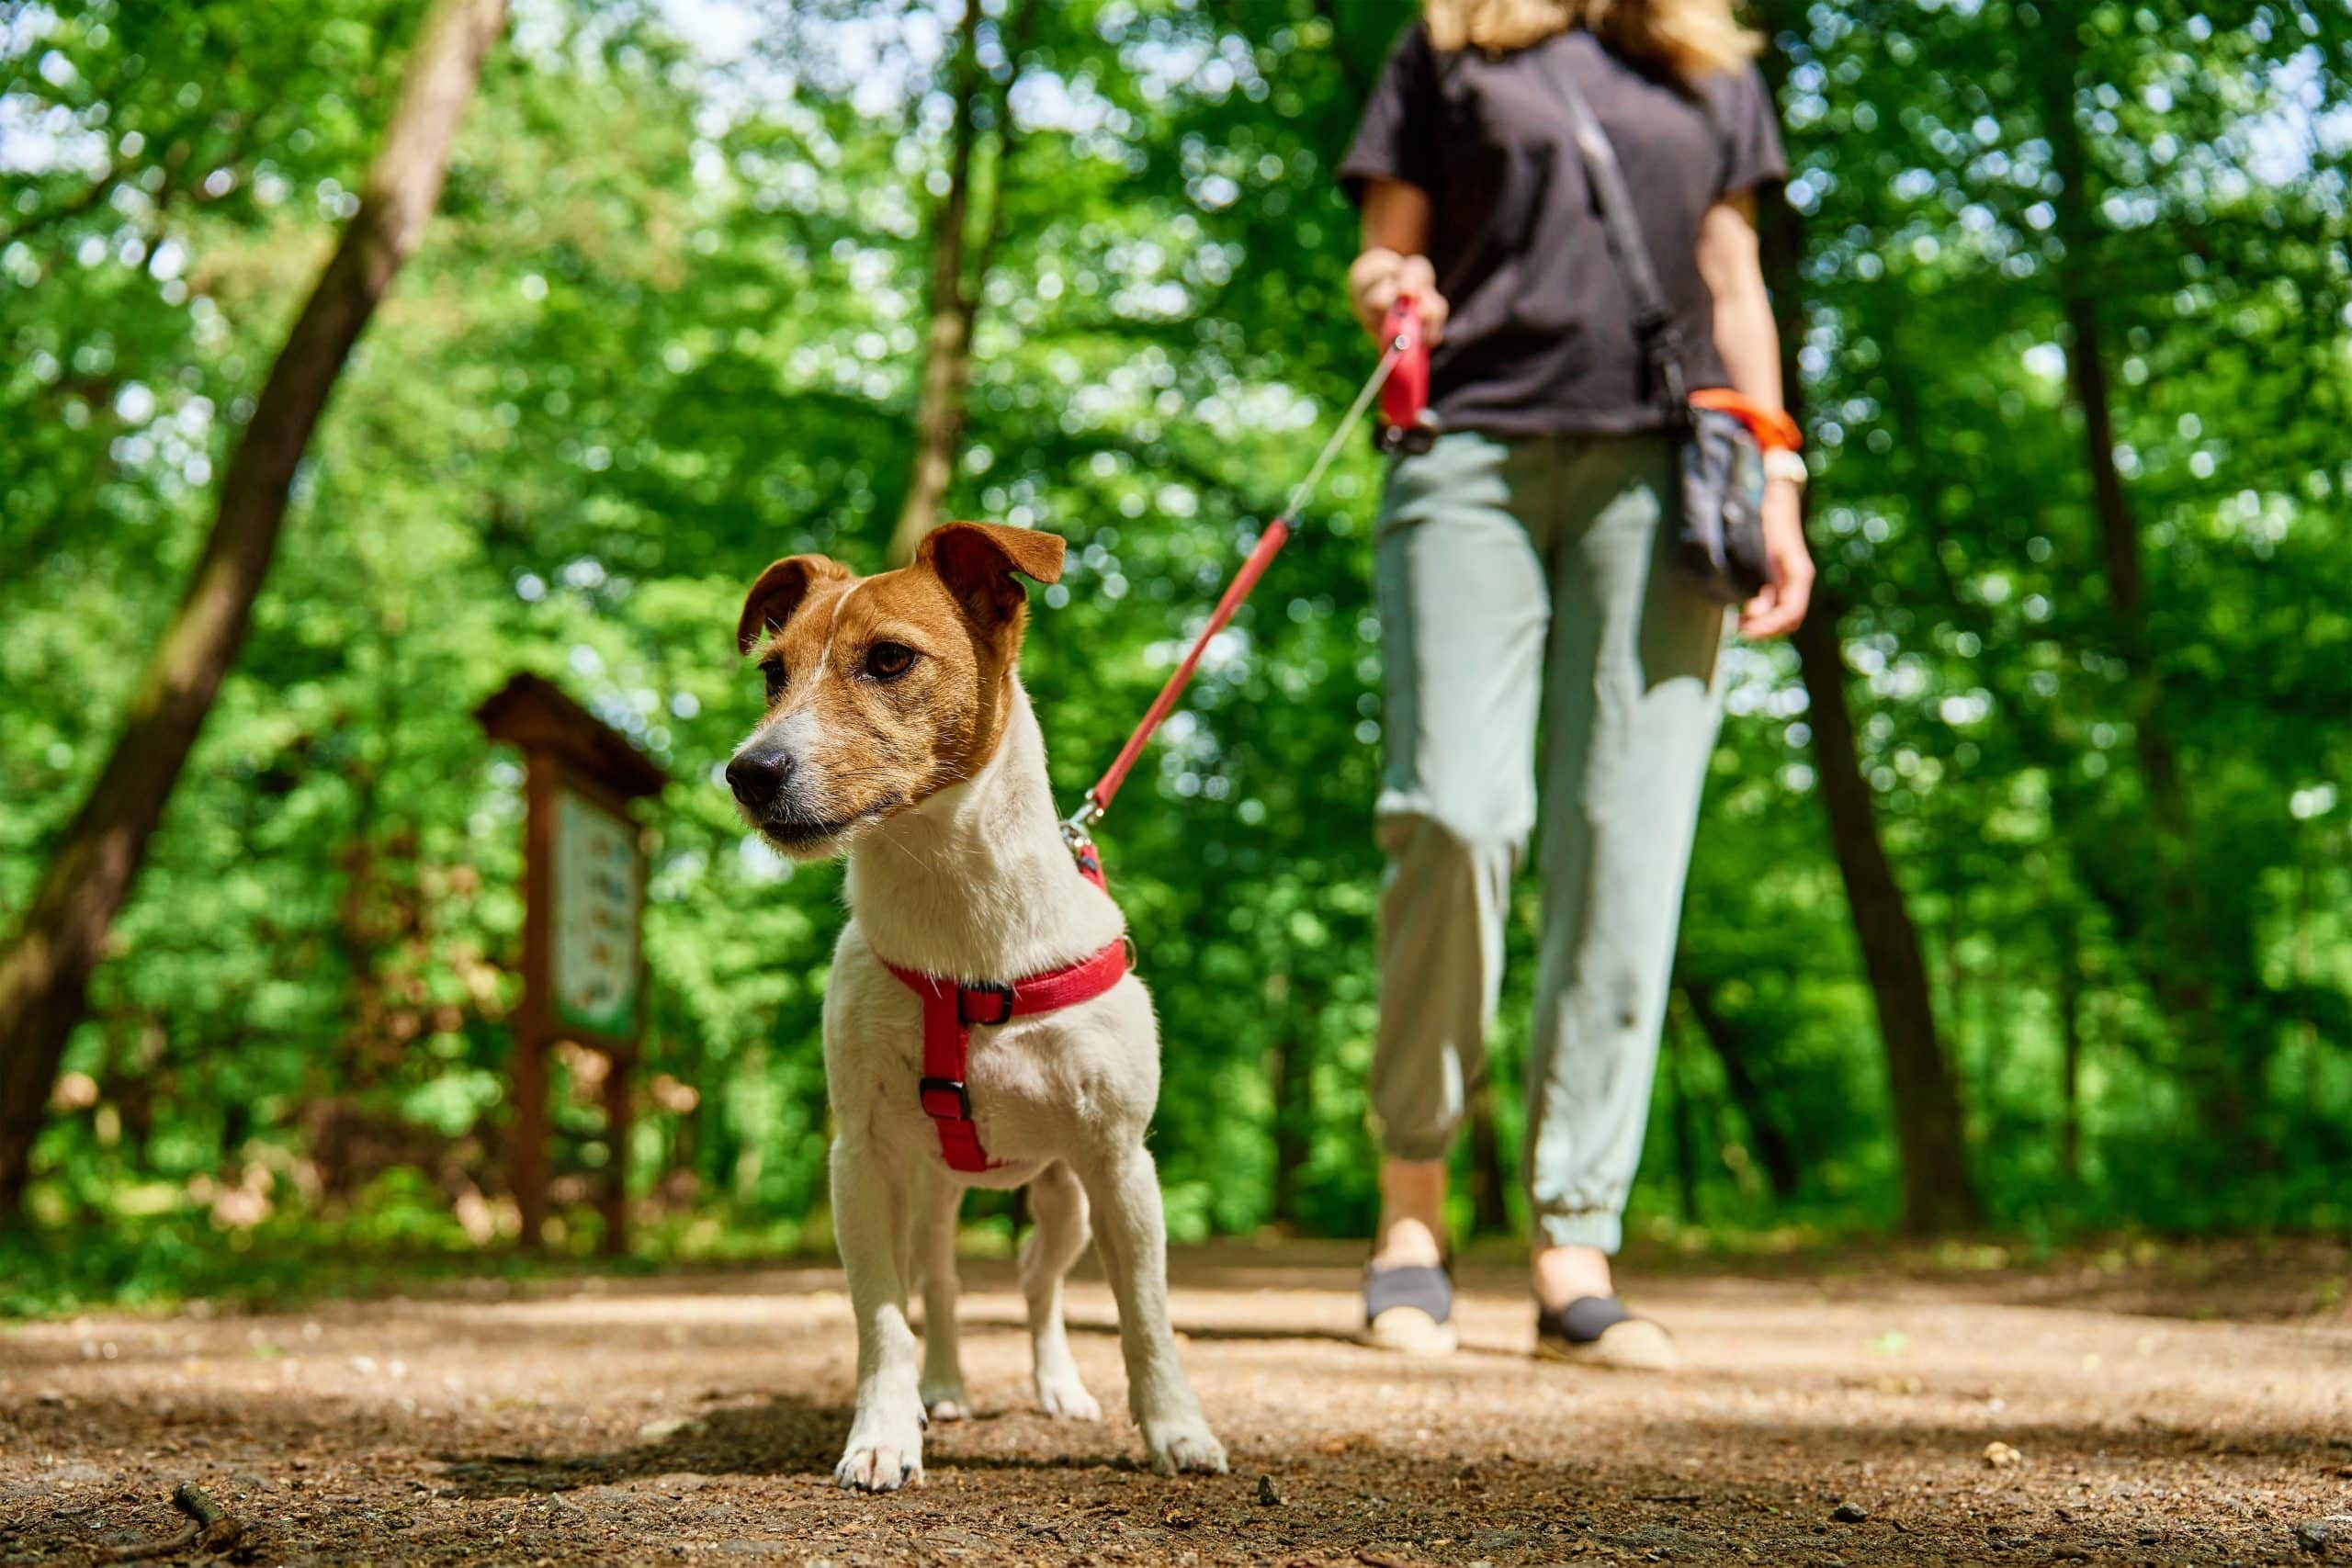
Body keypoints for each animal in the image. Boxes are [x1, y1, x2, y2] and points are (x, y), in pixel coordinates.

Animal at [724, 524, 1223, 1495]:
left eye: (889, 658)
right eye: (772, 671)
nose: (748, 771)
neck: (962, 929)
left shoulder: (1122, 1163)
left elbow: (1146, 1316)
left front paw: (1177, 1429)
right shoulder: (860, 1161)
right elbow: (882, 1317)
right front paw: (884, 1432)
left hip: (1069, 1197)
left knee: (1038, 1281)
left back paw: (1057, 1384)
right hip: (931, 1191)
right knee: (944, 1283)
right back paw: (945, 1386)